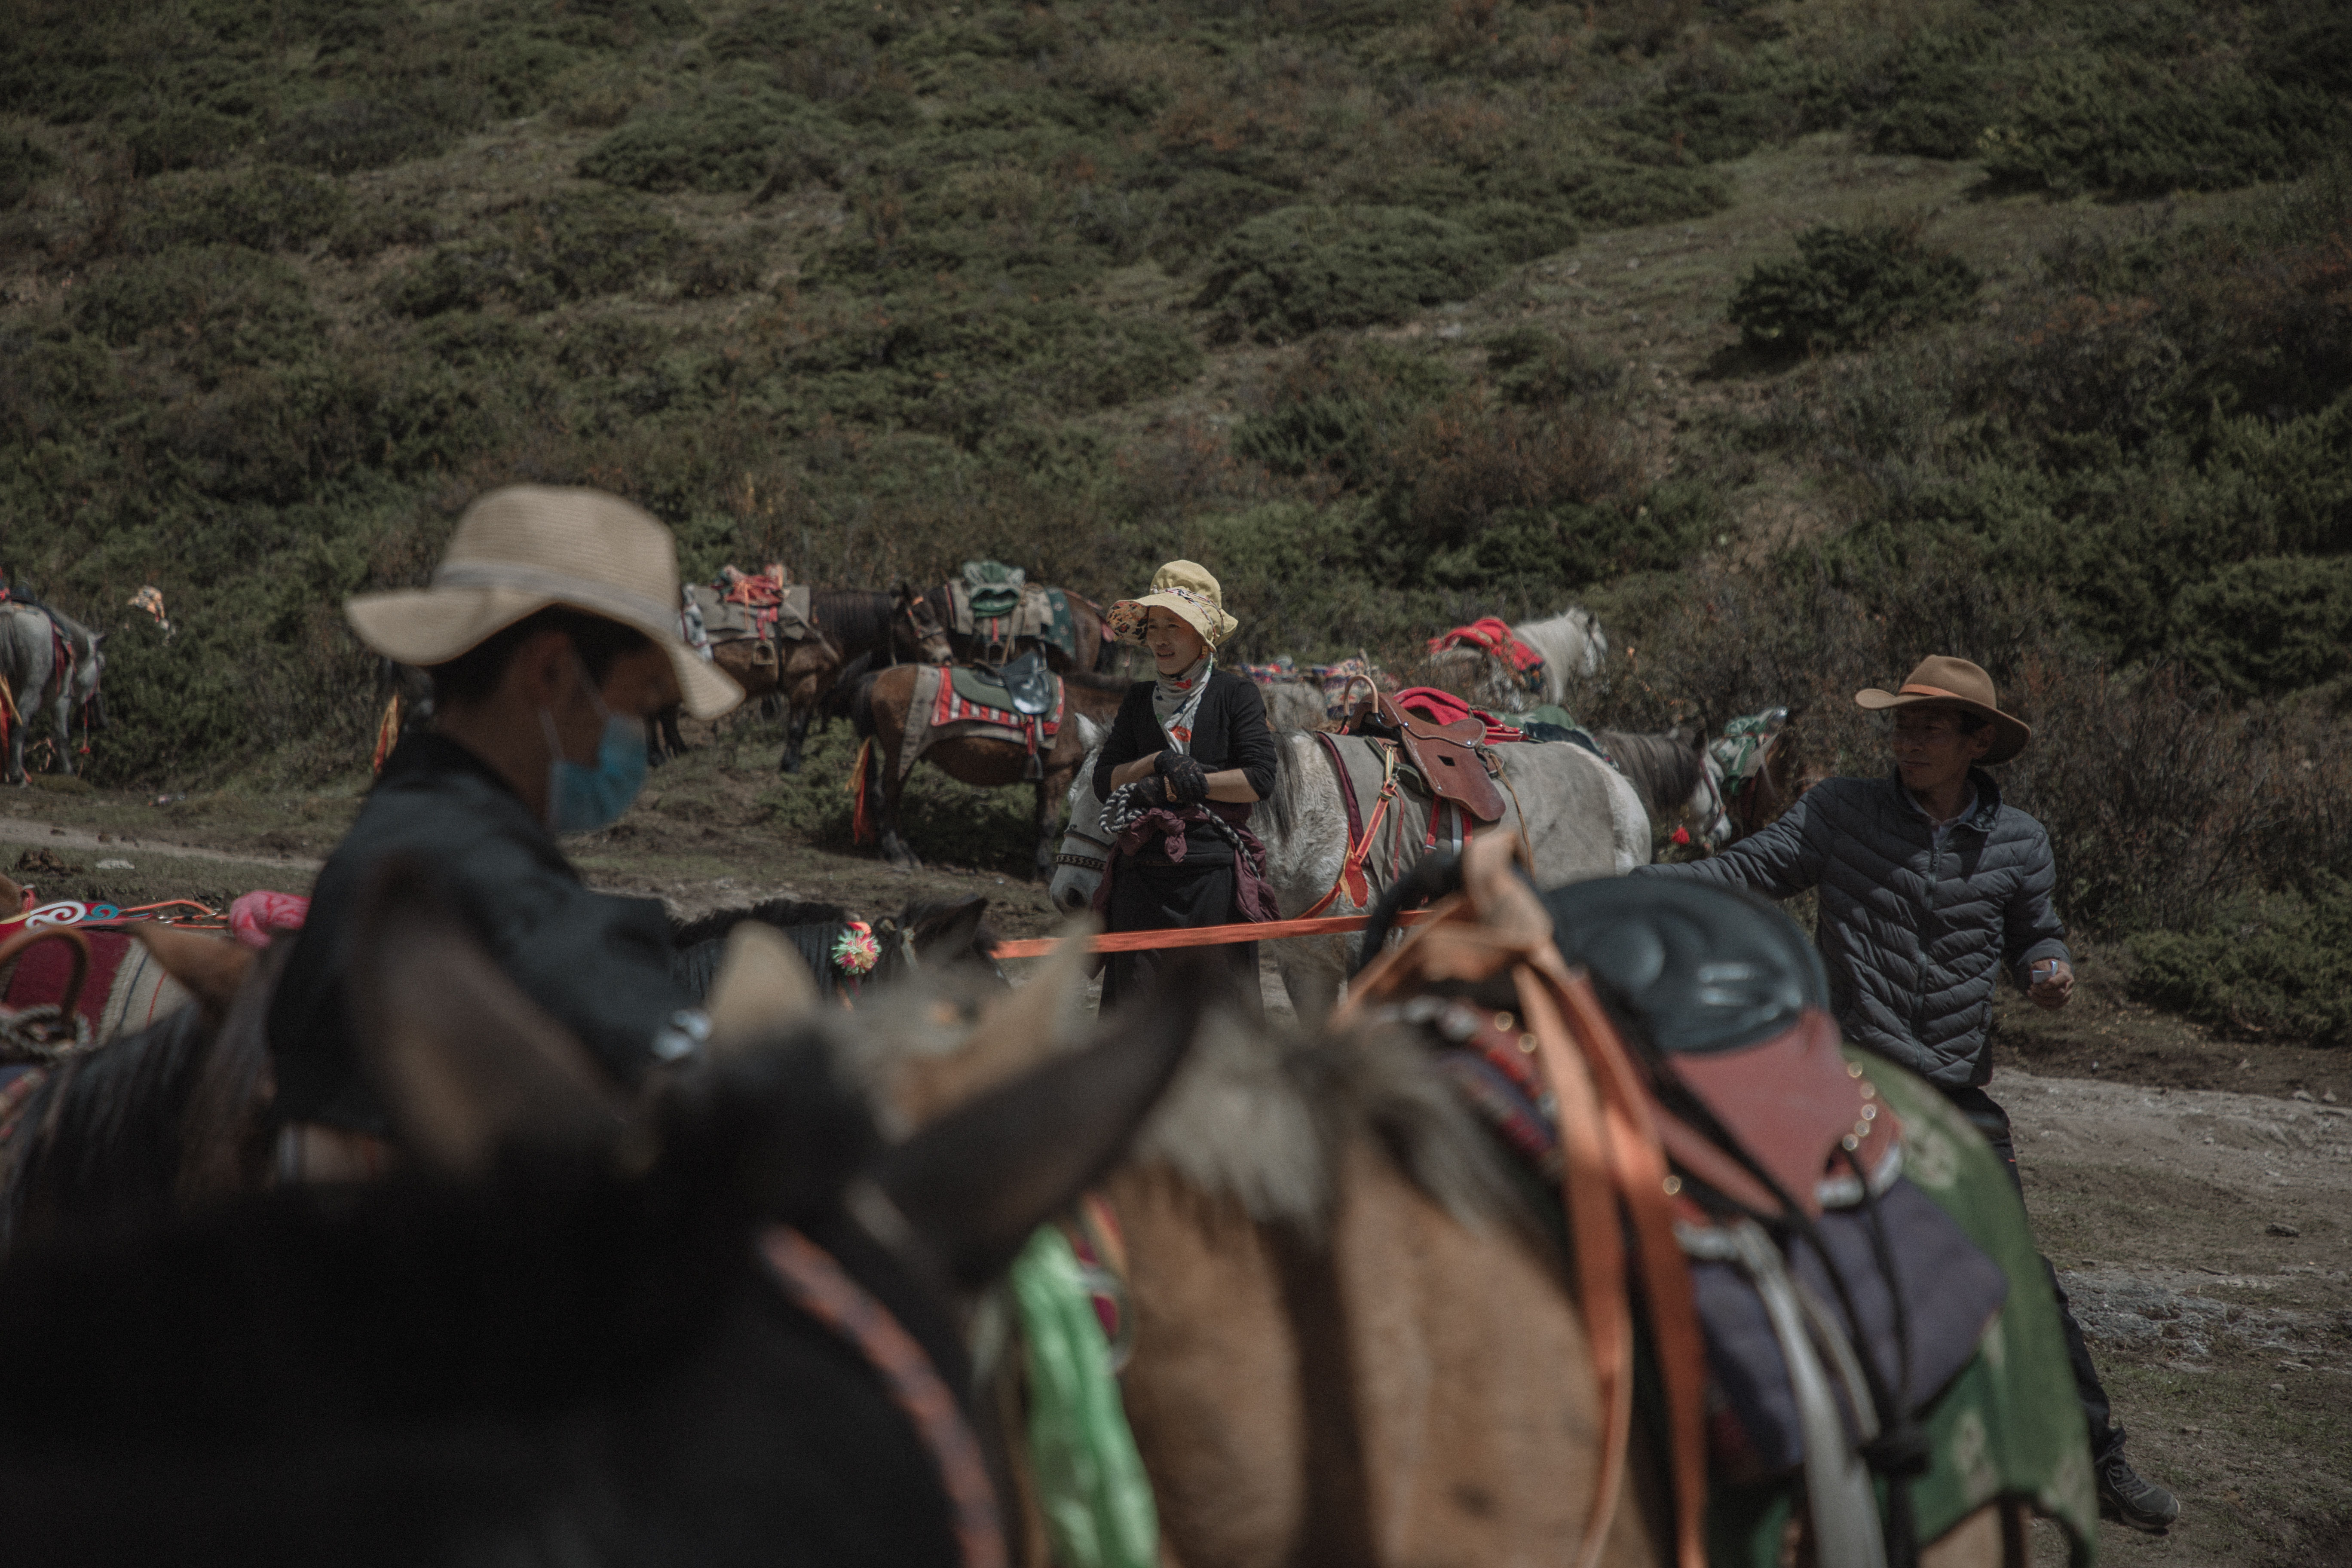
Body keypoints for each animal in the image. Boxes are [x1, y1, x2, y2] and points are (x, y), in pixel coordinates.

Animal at [856, 668, 1129, 884]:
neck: (1081, 707)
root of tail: (879, 677)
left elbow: (1040, 820)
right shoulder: (1057, 774)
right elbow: (1048, 824)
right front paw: (1045, 870)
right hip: (902, 754)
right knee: (884, 796)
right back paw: (898, 854)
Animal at [1054, 724, 1656, 1029]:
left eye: (1117, 802)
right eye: (1073, 792)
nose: (1069, 894)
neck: (1314, 822)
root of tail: (1620, 788)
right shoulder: (1305, 965)